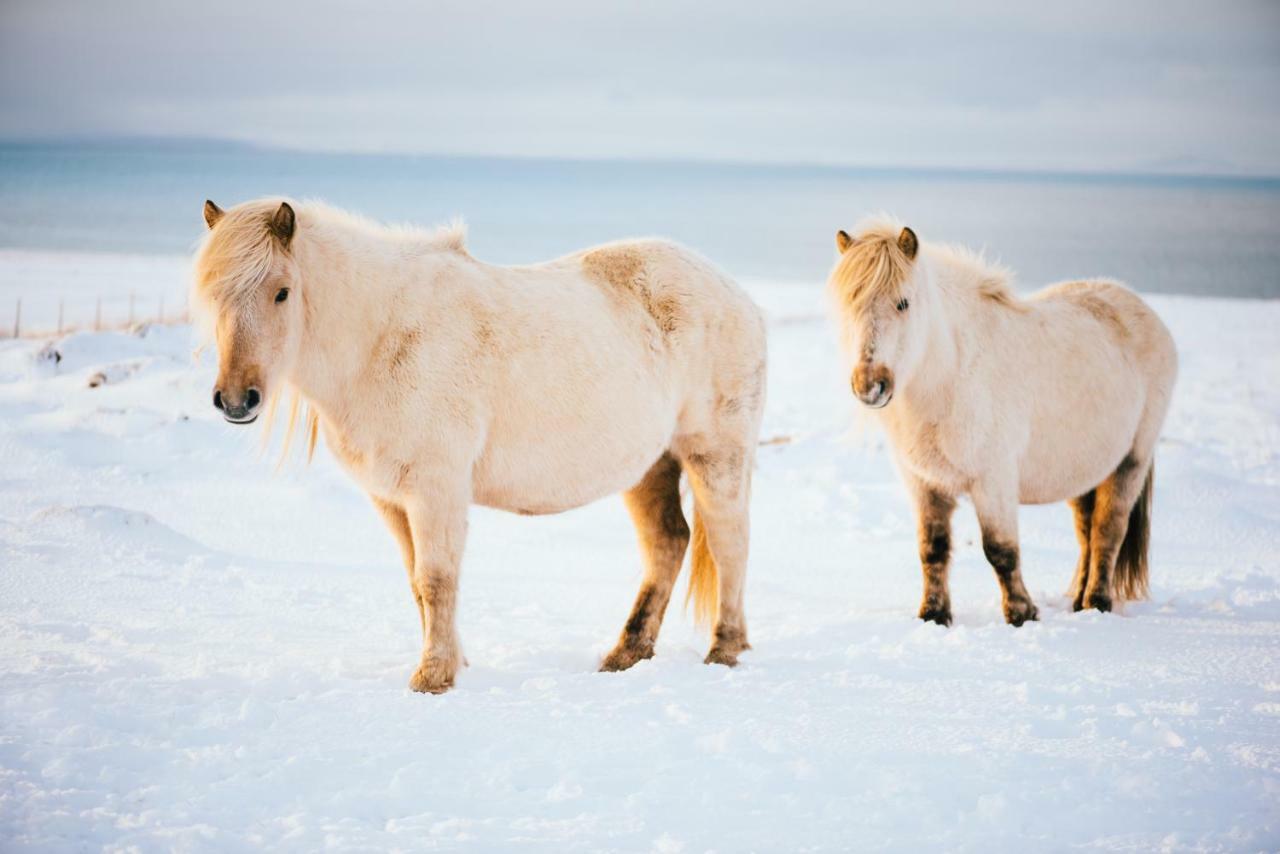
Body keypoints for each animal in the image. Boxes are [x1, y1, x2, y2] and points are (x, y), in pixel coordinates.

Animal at [194, 197, 762, 691]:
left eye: (281, 292)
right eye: (213, 296)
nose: (236, 400)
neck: (380, 338)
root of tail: (737, 294)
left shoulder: (436, 489)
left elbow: (436, 578)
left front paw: (433, 677)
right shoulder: (388, 497)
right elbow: (416, 583)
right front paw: (451, 660)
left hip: (716, 454)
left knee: (729, 542)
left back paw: (723, 650)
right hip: (649, 466)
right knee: (667, 543)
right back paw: (625, 654)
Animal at [829, 217, 1177, 624]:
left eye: (903, 302)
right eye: (849, 305)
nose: (870, 386)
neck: (950, 377)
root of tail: (1144, 311)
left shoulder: (992, 480)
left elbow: (1000, 550)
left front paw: (1021, 614)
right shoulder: (923, 483)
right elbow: (932, 549)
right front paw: (934, 615)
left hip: (1131, 460)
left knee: (1109, 530)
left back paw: (1097, 603)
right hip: (1086, 469)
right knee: (1086, 532)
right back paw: (1078, 601)